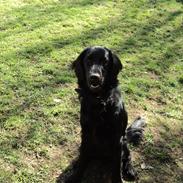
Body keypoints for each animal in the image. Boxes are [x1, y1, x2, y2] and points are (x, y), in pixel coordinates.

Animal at [66, 46, 145, 182]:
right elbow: (82, 159)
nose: (94, 77)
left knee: (127, 157)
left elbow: (117, 167)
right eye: (88, 60)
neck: (99, 100)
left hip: (124, 142)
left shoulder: (117, 139)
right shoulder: (86, 134)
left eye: (105, 62)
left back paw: (130, 170)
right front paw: (75, 176)